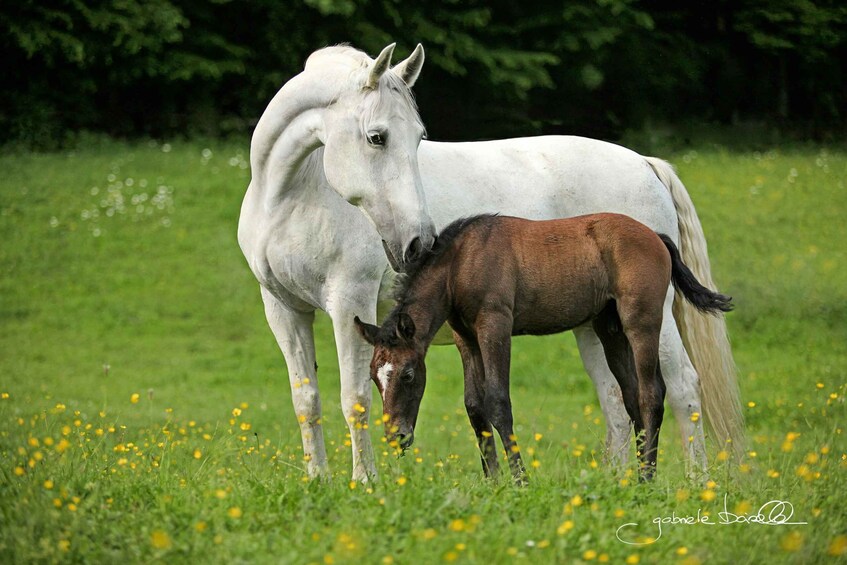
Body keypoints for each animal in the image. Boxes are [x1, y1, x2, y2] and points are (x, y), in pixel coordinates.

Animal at [354, 212, 732, 480]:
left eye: (407, 374)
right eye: (374, 377)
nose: (397, 437)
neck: (460, 263)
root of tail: (656, 236)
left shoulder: (495, 325)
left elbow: (497, 401)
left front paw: (521, 481)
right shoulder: (466, 337)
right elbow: (474, 405)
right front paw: (493, 484)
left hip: (642, 321)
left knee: (652, 393)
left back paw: (647, 480)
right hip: (609, 328)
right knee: (632, 395)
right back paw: (637, 477)